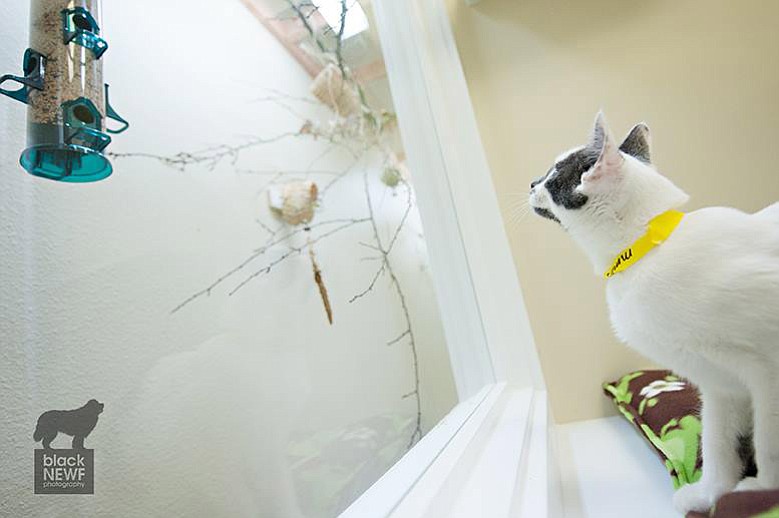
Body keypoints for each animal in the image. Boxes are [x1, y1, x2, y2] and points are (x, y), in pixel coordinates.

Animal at [532, 114, 779, 516]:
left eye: (554, 174)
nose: (531, 182)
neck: (647, 250)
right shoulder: (721, 385)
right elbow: (717, 444)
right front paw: (712, 494)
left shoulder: (768, 374)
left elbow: (769, 440)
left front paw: (763, 491)